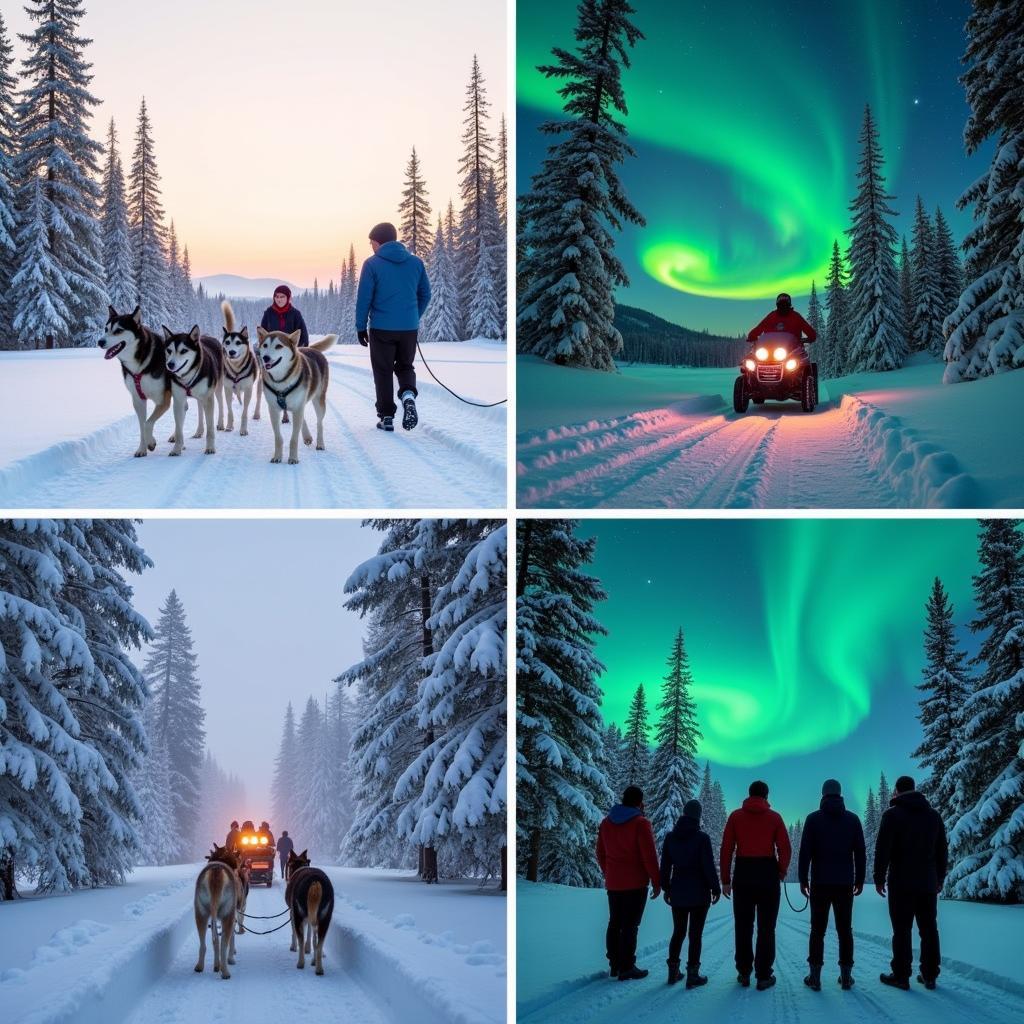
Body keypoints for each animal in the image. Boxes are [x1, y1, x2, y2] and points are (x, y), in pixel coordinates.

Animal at [98, 305, 171, 458]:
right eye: (105, 329)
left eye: (118, 330)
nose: (100, 342)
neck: (140, 364)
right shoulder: (138, 400)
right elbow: (143, 425)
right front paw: (142, 449)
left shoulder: (162, 399)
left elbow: (147, 424)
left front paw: (151, 442)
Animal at [162, 327, 225, 456]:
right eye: (169, 350)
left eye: (184, 350)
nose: (170, 364)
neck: (189, 375)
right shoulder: (179, 400)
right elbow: (179, 428)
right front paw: (177, 448)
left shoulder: (208, 399)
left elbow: (210, 429)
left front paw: (210, 447)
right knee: (198, 410)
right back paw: (198, 431)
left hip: (217, 389)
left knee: (220, 403)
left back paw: (221, 424)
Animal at [194, 843, 244, 978]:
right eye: (238, 856)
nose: (241, 865)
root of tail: (216, 875)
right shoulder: (232, 914)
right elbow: (230, 940)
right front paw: (230, 958)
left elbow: (215, 941)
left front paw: (216, 965)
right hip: (227, 913)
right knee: (223, 945)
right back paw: (225, 972)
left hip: (201, 911)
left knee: (204, 944)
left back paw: (200, 966)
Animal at [219, 299, 262, 436]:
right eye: (227, 342)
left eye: (238, 342)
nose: (231, 352)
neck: (237, 370)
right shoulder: (227, 389)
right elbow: (229, 411)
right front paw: (229, 426)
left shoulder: (248, 389)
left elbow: (244, 412)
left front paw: (243, 429)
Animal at [256, 327, 335, 464]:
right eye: (265, 345)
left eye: (278, 346)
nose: (265, 357)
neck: (281, 380)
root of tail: (311, 348)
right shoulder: (274, 409)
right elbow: (278, 437)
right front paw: (277, 456)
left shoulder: (298, 407)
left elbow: (294, 438)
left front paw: (293, 458)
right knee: (303, 418)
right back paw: (307, 436)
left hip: (318, 401)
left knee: (319, 423)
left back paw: (320, 443)